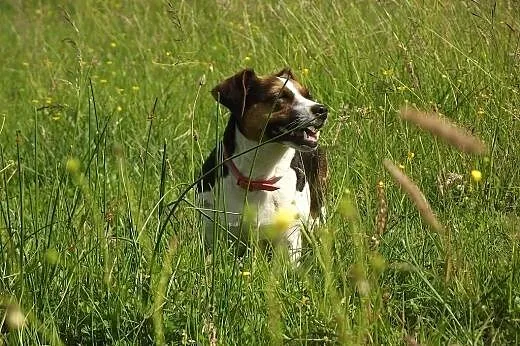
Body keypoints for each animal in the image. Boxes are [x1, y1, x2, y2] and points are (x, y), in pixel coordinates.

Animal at [197, 67, 328, 262]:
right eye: (279, 97)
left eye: (307, 95)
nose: (322, 109)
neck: (258, 178)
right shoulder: (212, 230)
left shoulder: (289, 238)